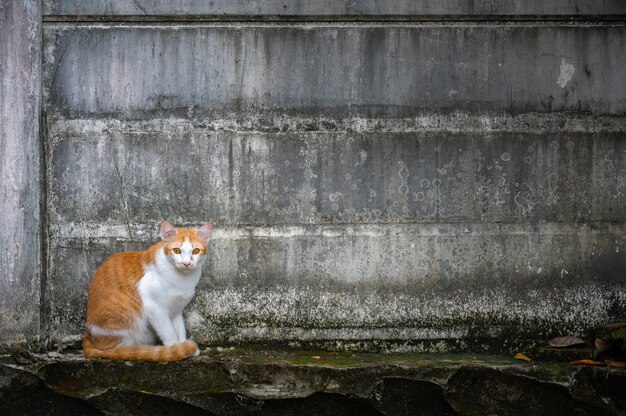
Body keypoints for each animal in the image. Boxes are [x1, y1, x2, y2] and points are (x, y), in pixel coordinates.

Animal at [83, 221, 212, 360]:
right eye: (177, 250)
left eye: (195, 251)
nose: (186, 263)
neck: (182, 280)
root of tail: (89, 337)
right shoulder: (156, 309)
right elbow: (169, 332)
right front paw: (174, 349)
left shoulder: (177, 309)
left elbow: (180, 329)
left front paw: (183, 345)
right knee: (121, 349)